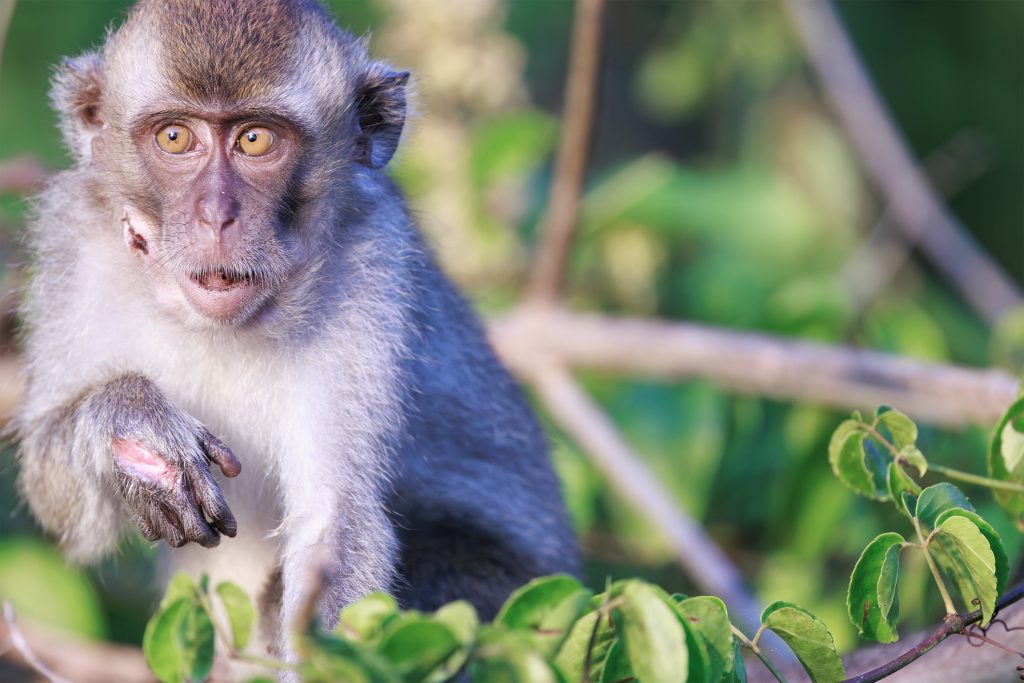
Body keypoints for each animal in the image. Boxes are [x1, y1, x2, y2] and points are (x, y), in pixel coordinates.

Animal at [12, 0, 579, 666]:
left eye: (255, 139)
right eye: (176, 137)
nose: (217, 216)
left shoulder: (370, 263)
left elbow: (332, 528)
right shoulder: (75, 238)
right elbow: (57, 493)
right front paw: (129, 420)